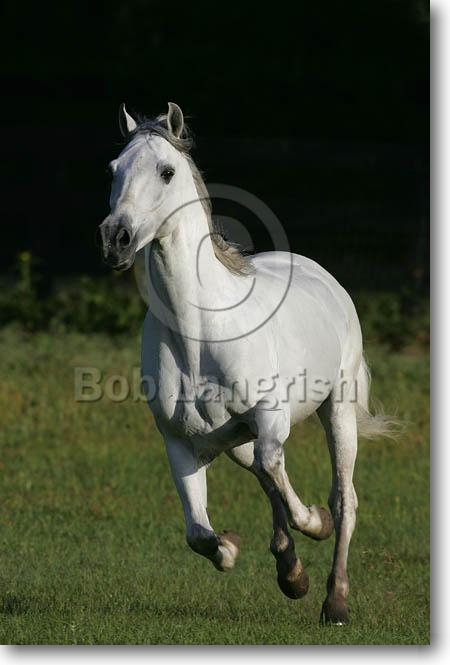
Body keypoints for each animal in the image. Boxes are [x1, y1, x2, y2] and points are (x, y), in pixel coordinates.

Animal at [99, 102, 396, 625]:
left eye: (166, 171)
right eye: (114, 170)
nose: (117, 239)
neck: (198, 334)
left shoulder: (271, 419)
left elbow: (283, 478)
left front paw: (308, 533)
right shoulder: (180, 443)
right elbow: (199, 534)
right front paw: (242, 552)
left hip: (337, 411)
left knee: (342, 498)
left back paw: (334, 599)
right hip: (234, 437)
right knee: (262, 474)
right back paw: (291, 567)